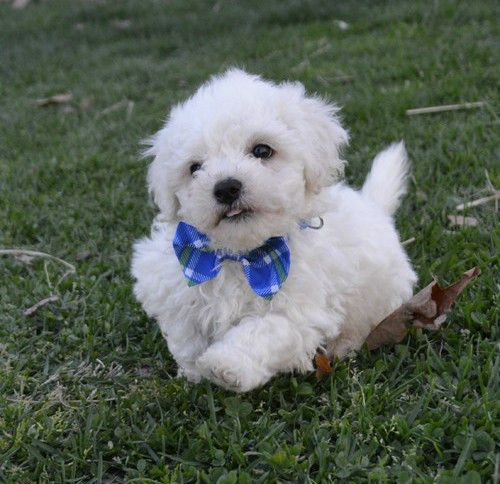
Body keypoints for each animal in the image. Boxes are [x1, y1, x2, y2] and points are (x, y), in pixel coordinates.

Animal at [131, 69, 416, 394]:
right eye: (195, 167)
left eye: (262, 150)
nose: (226, 188)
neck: (241, 255)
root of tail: (374, 207)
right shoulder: (172, 286)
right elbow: (185, 335)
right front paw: (193, 371)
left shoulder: (299, 311)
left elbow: (263, 331)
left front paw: (224, 365)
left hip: (380, 294)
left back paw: (342, 346)